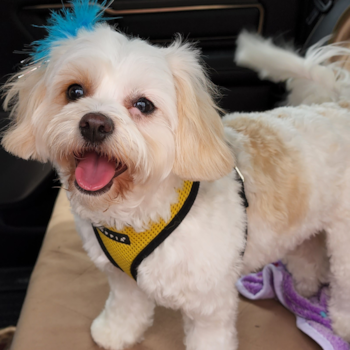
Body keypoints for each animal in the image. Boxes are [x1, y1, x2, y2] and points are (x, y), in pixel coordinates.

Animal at [2, 2, 350, 348]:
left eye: (143, 105)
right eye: (75, 91)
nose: (94, 124)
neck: (136, 215)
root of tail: (339, 106)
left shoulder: (210, 302)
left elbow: (209, 335)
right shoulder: (123, 280)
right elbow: (126, 307)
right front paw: (115, 332)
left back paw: (340, 324)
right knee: (307, 251)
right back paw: (305, 287)